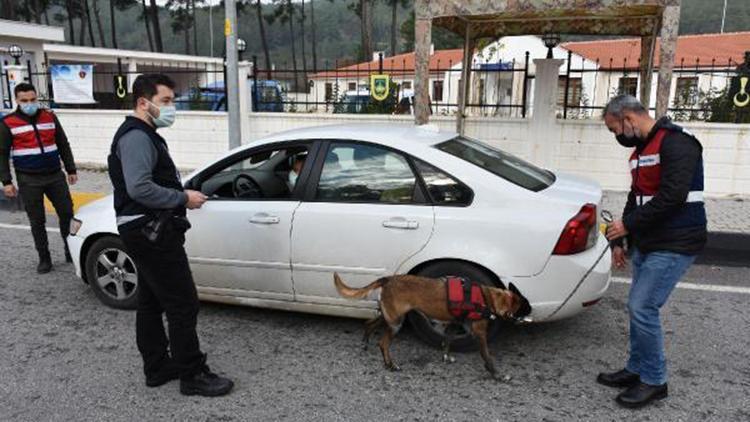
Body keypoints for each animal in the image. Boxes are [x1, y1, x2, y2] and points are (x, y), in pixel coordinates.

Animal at [332, 274, 532, 380]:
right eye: (526, 305)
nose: (532, 309)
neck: (488, 298)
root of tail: (388, 279)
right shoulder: (479, 333)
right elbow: (487, 357)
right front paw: (497, 375)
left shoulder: (453, 325)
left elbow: (447, 342)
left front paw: (446, 357)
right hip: (396, 323)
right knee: (383, 343)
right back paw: (390, 365)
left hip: (390, 317)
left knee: (369, 323)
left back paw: (365, 342)